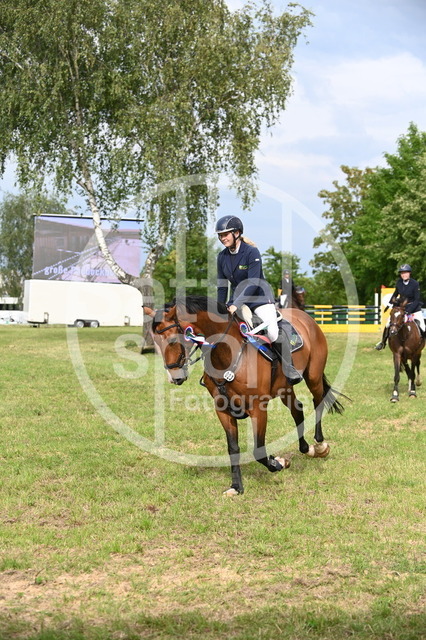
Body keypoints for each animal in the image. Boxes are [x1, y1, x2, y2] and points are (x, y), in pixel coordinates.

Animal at [144, 296, 346, 495]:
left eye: (172, 340)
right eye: (156, 342)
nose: (174, 377)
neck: (227, 355)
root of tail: (307, 318)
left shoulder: (258, 409)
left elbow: (258, 450)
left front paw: (278, 463)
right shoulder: (223, 410)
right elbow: (233, 448)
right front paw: (236, 486)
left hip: (313, 377)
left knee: (318, 402)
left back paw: (320, 446)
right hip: (284, 388)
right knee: (298, 411)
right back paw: (306, 449)